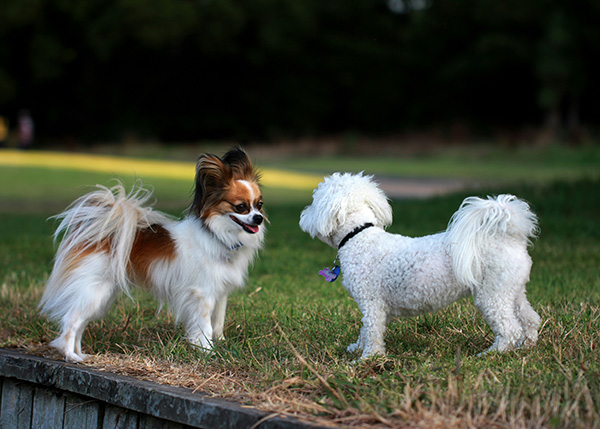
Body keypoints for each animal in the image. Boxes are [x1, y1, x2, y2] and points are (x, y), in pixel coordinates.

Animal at [41, 147, 266, 362]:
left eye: (259, 204)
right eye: (241, 207)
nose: (259, 218)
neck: (218, 235)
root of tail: (98, 229)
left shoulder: (220, 294)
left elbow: (218, 323)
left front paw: (220, 344)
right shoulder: (202, 294)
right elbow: (204, 326)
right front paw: (207, 351)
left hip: (101, 296)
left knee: (79, 324)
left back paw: (81, 354)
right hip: (93, 291)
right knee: (71, 322)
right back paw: (71, 356)